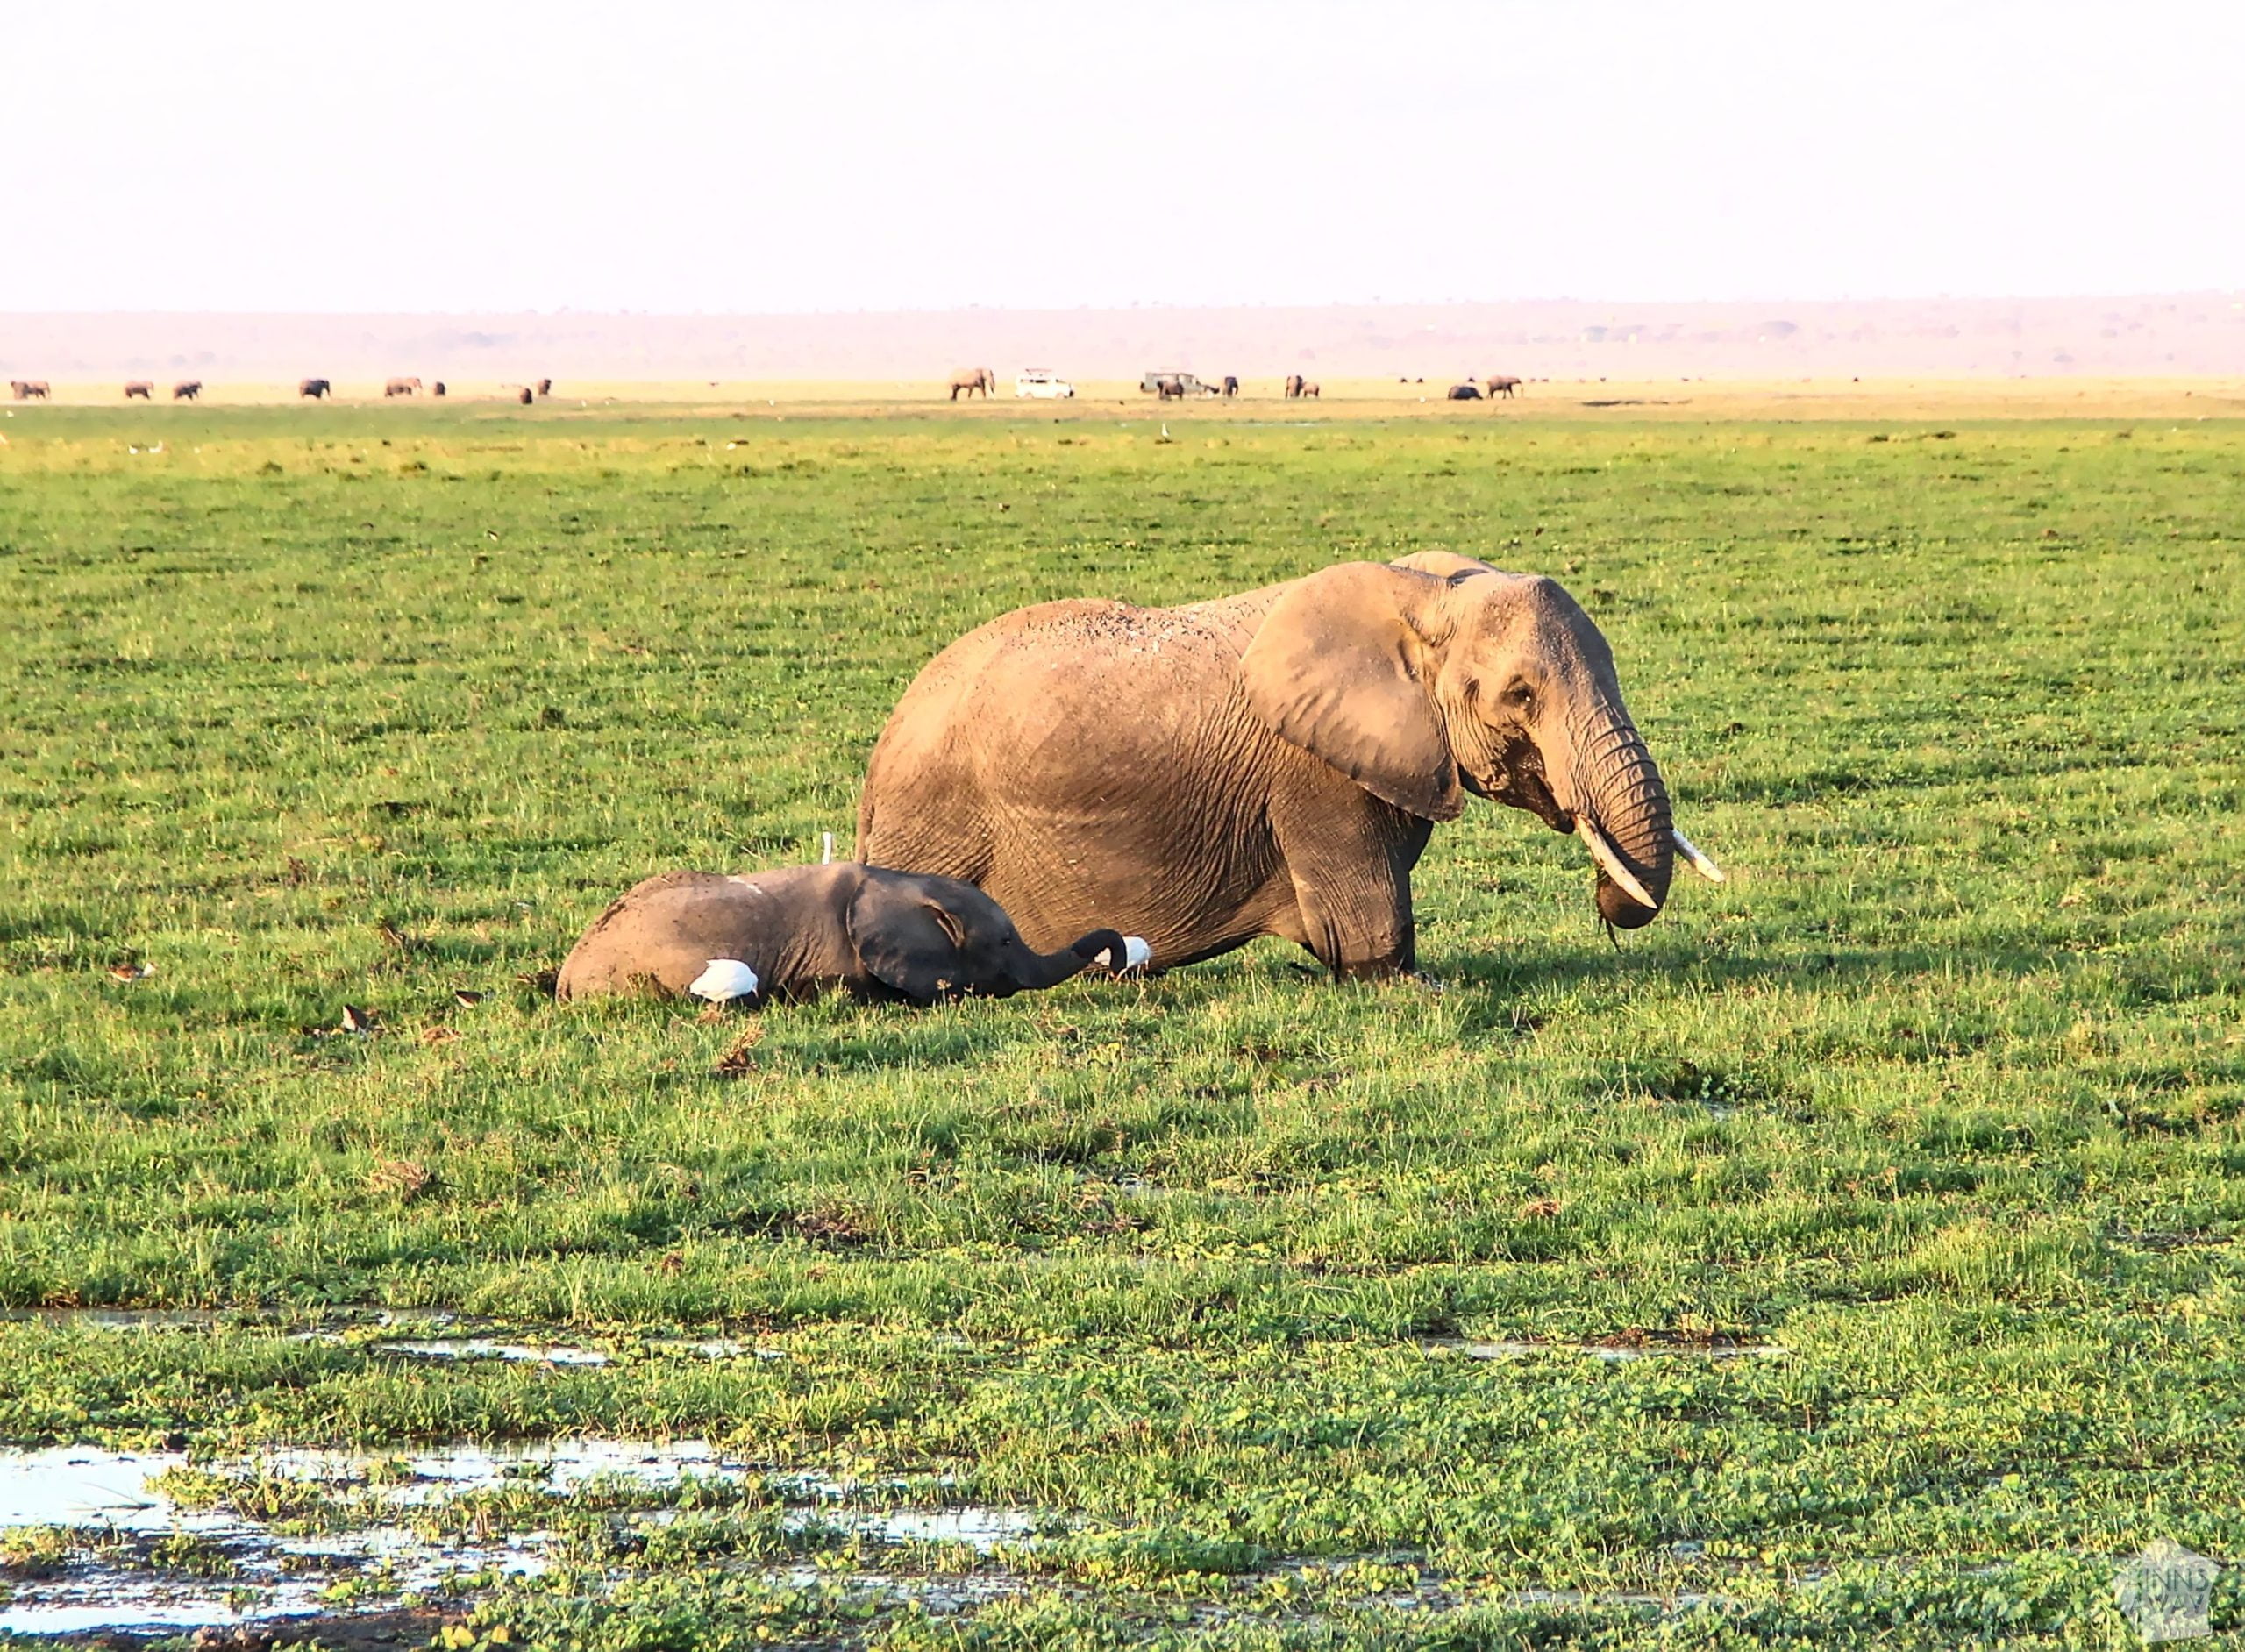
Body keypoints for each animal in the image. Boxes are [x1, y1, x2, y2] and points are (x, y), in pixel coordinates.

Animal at [858, 552, 1723, 979]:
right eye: (1519, 695)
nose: (1607, 904)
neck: (1425, 593)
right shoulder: (1312, 774)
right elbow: (1364, 924)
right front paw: (1409, 984)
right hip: (936, 820)